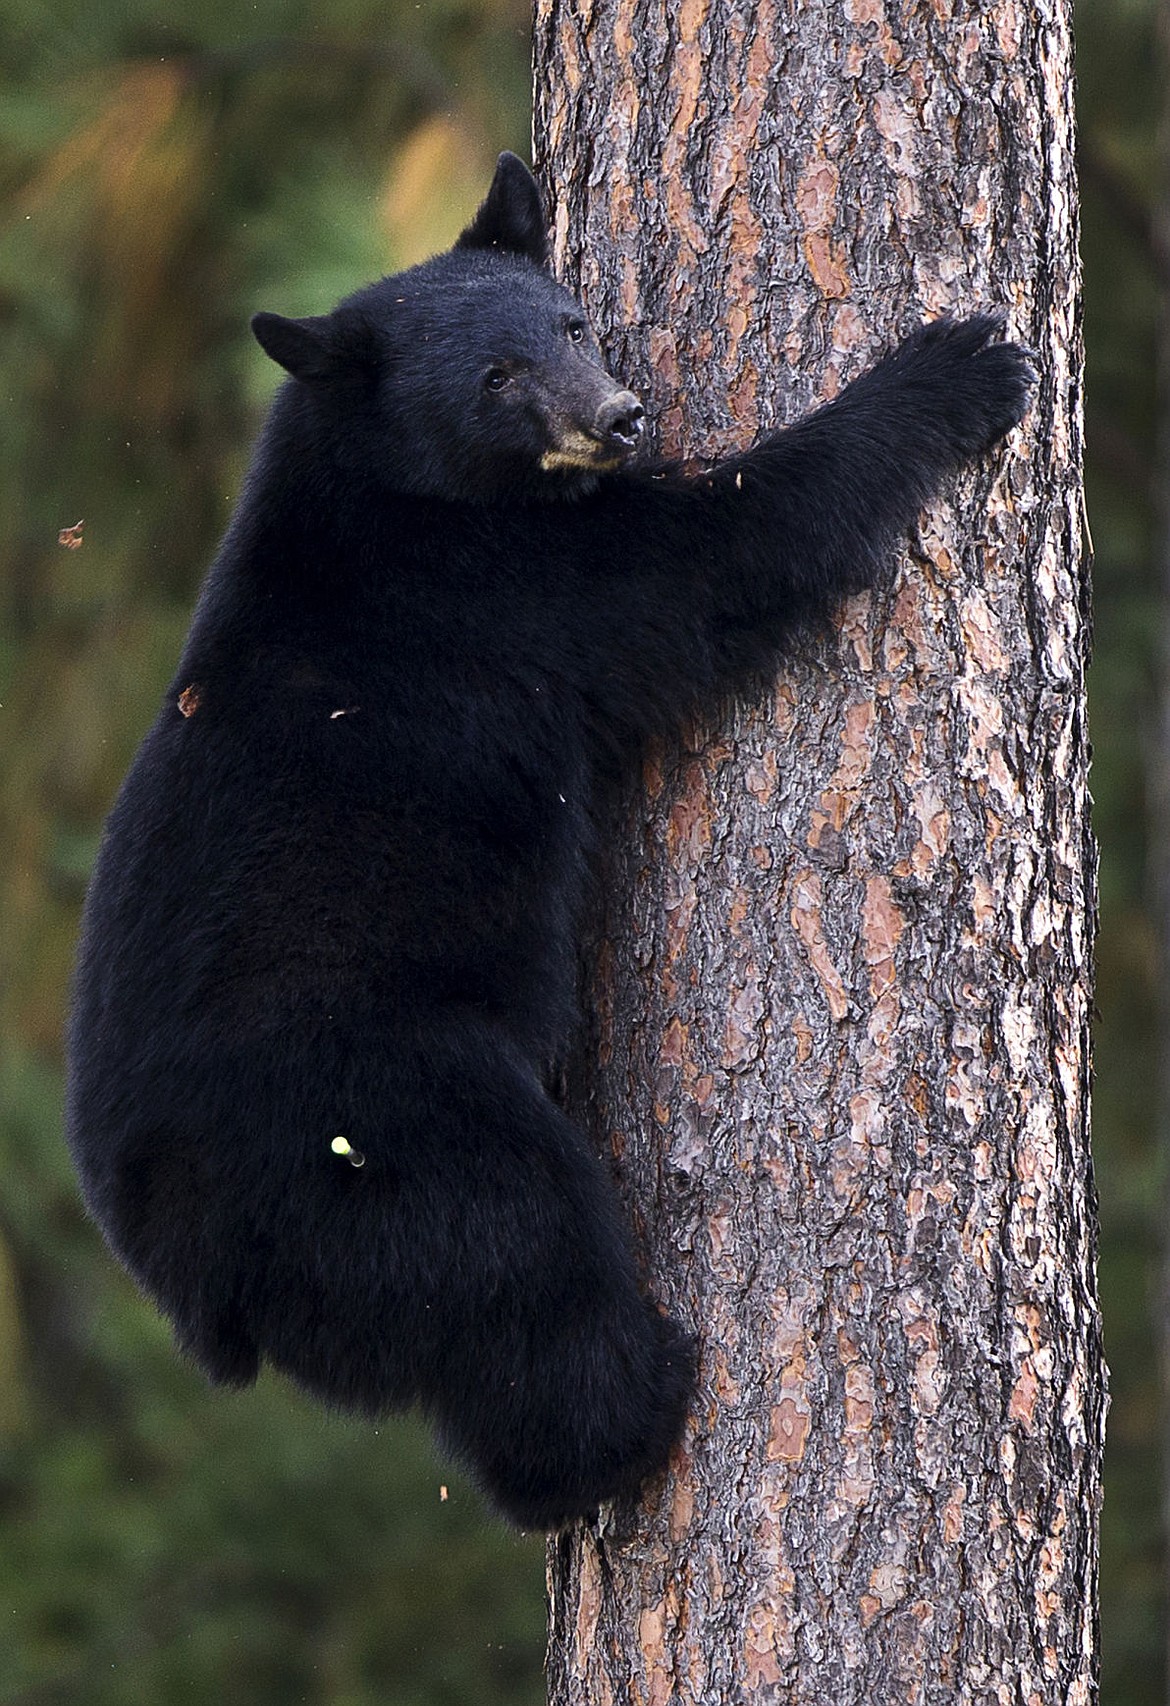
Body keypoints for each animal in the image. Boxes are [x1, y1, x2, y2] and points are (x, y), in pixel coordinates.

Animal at [66, 153, 1036, 1528]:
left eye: (571, 322)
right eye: (495, 375)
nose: (618, 416)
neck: (377, 481)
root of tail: (183, 1270)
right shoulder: (504, 582)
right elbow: (717, 554)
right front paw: (958, 365)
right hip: (370, 1107)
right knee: (511, 1244)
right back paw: (637, 1403)